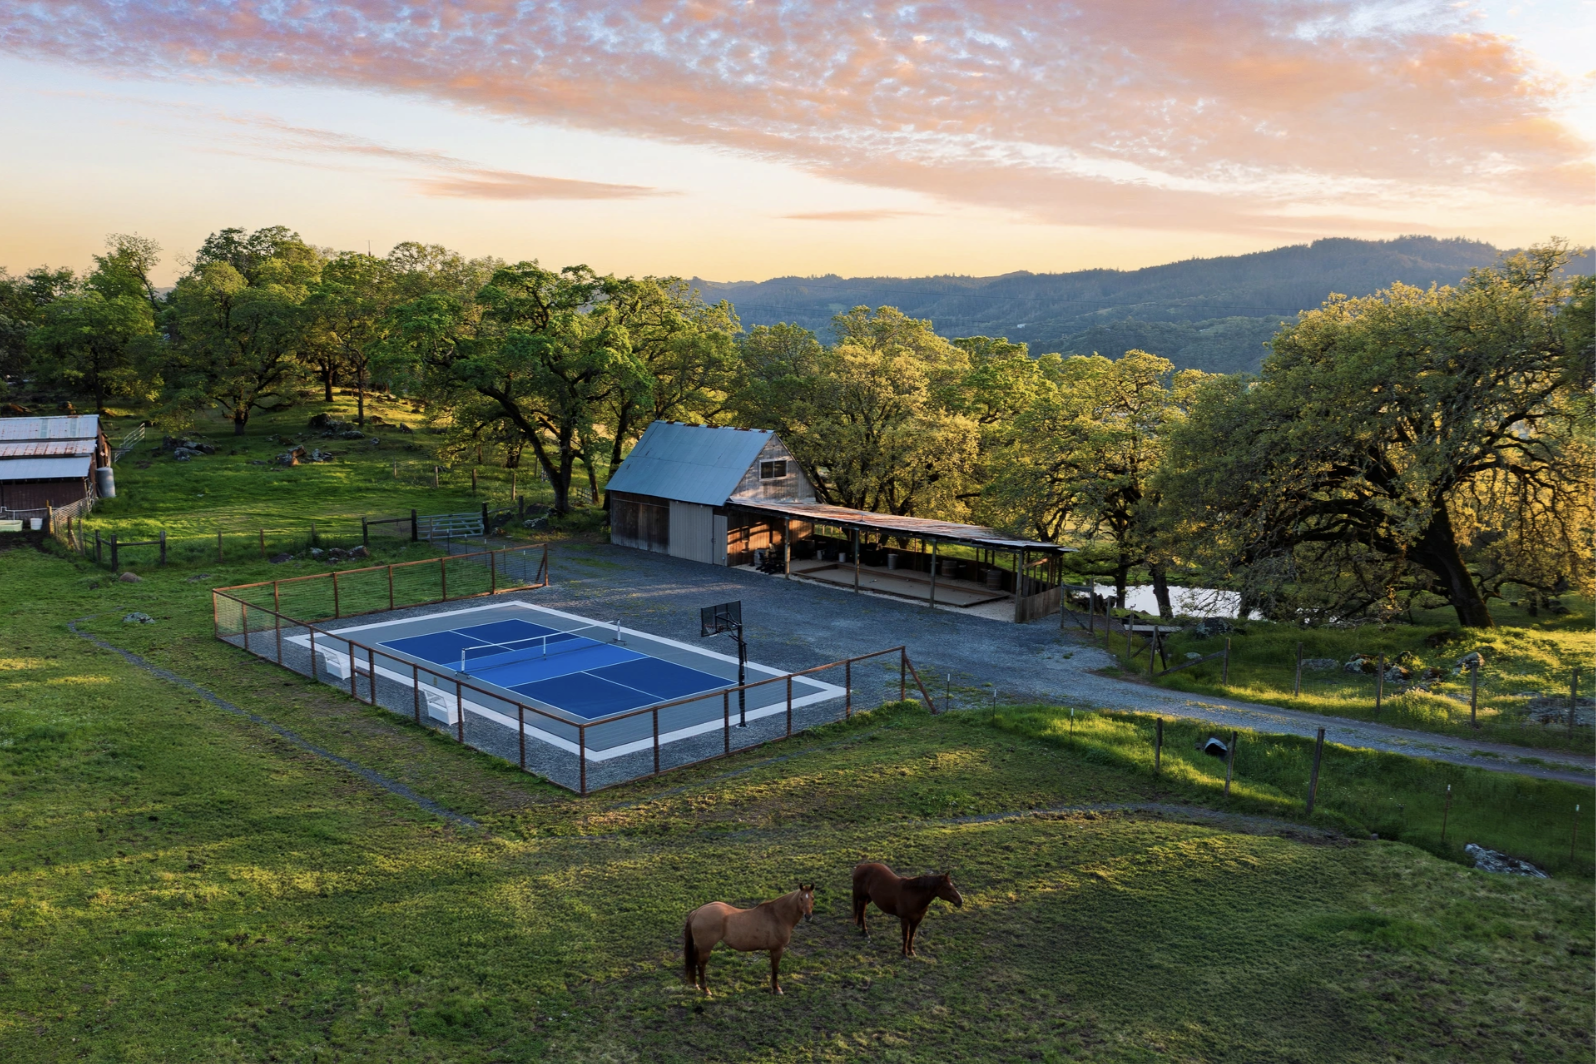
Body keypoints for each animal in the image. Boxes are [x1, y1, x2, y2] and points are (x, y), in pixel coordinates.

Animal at [683, 884, 815, 995]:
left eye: (812, 898)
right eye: (801, 898)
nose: (808, 916)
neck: (777, 916)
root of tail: (697, 912)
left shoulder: (773, 949)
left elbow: (773, 967)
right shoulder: (777, 949)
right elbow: (775, 968)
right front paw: (777, 989)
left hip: (699, 947)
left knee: (695, 961)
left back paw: (695, 984)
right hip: (705, 948)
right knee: (701, 965)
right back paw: (706, 990)